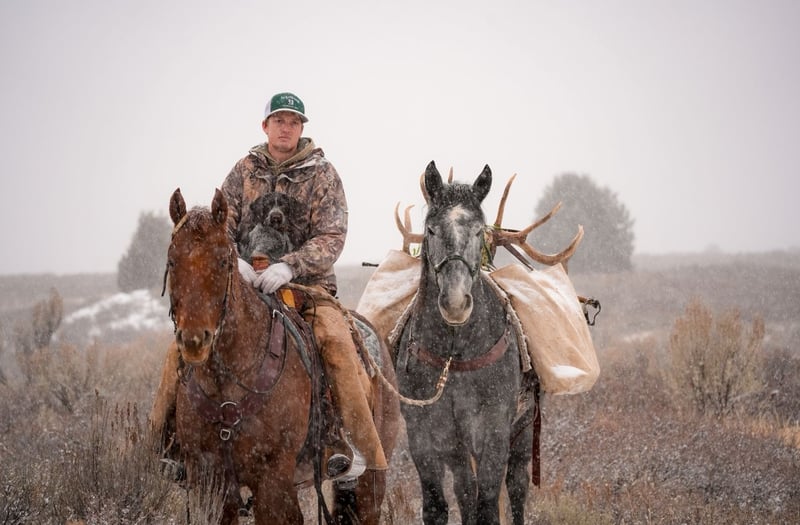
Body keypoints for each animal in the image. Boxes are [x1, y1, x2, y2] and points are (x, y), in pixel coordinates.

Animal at [163, 187, 400, 525]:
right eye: (172, 261)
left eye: (222, 261)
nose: (194, 341)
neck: (228, 384)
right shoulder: (209, 481)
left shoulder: (273, 480)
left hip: (371, 479)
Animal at [394, 162, 539, 525]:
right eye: (431, 230)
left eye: (478, 231)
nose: (456, 303)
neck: (454, 356)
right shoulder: (425, 432)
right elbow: (437, 505)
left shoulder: (494, 430)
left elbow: (488, 506)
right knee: (464, 489)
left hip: (524, 429)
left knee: (517, 487)